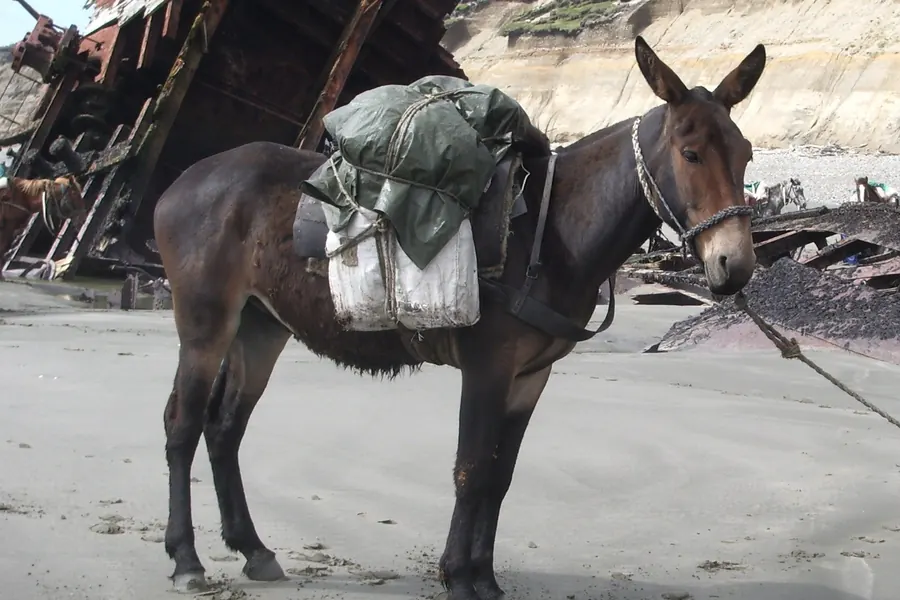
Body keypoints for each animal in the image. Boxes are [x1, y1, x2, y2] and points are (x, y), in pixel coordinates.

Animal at [153, 36, 766, 599]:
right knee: (182, 424)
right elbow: (470, 471)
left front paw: (485, 577)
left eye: (746, 155)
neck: (551, 231)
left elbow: (500, 477)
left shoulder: (530, 376)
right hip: (206, 324)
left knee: (225, 427)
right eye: (691, 154)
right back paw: (186, 559)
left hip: (261, 326)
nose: (734, 266)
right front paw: (458, 577)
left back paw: (253, 550)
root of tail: (182, 181)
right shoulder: (488, 368)